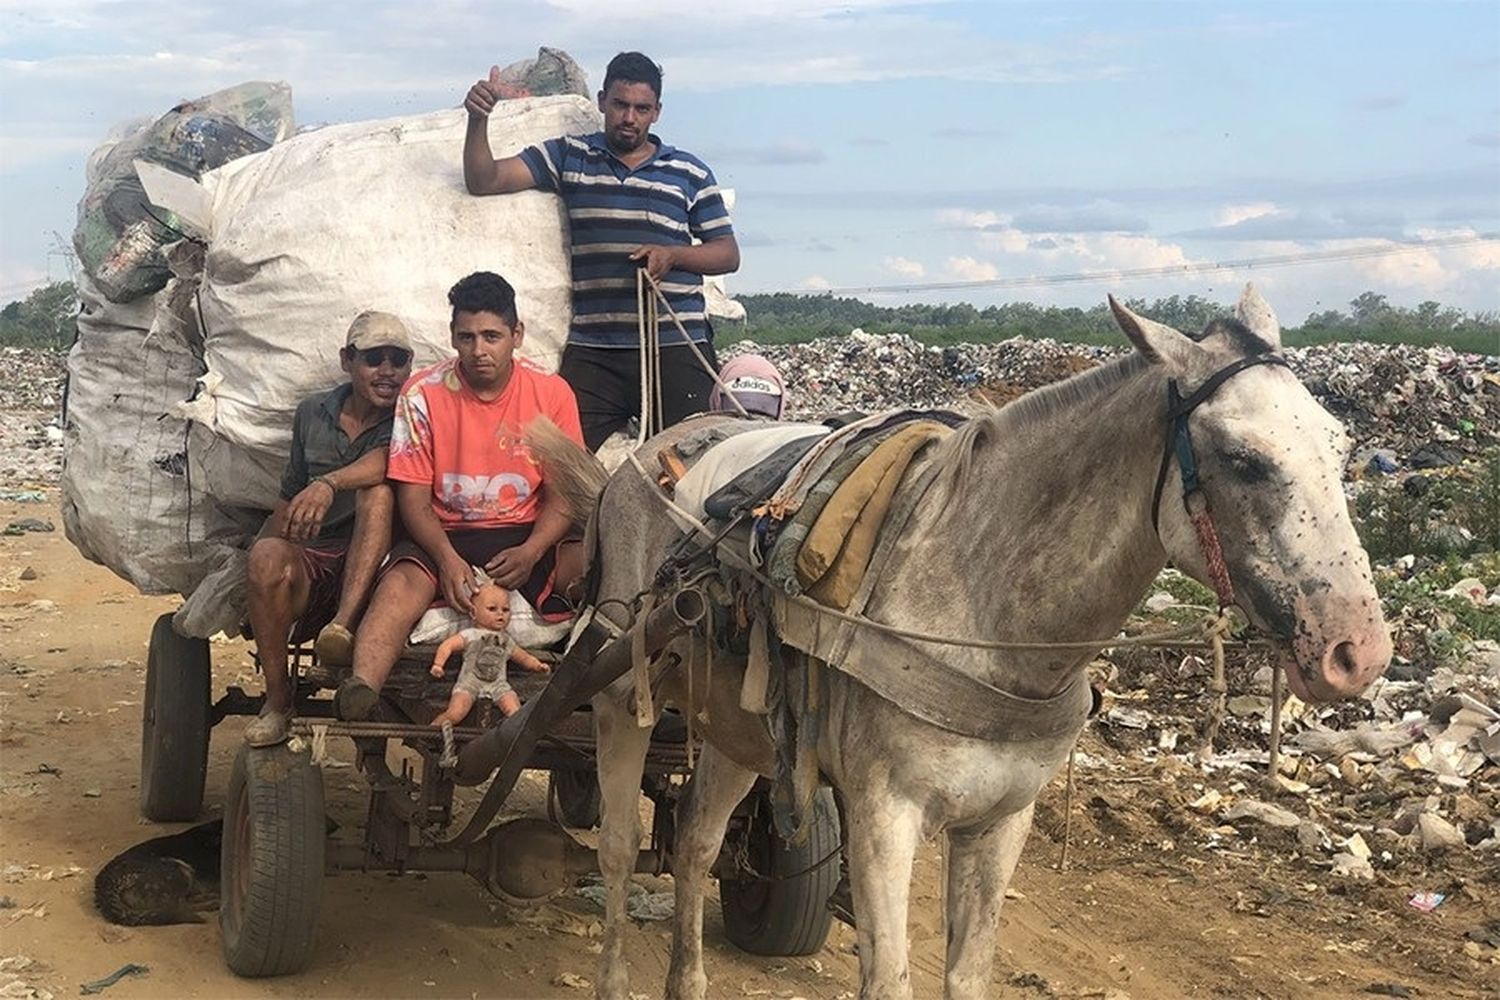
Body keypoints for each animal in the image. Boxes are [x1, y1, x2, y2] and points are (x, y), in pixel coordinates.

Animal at [534, 284, 1386, 995]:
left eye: (1340, 447)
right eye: (1244, 461)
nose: (1360, 652)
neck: (986, 604)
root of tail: (641, 458)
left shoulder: (1001, 821)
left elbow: (968, 975)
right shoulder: (885, 815)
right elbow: (889, 980)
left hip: (738, 730)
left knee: (695, 847)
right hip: (620, 692)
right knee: (618, 846)